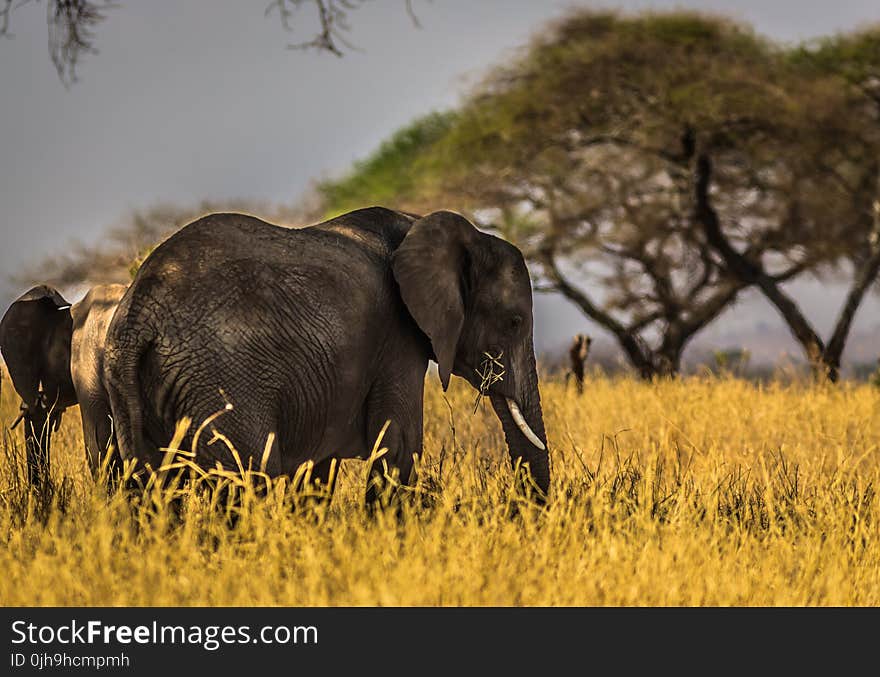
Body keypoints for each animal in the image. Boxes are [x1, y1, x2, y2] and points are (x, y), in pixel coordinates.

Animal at [105, 209, 552, 504]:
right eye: (514, 322)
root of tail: (140, 311)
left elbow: (318, 468)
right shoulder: (397, 338)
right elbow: (399, 446)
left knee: (151, 488)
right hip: (220, 380)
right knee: (249, 480)